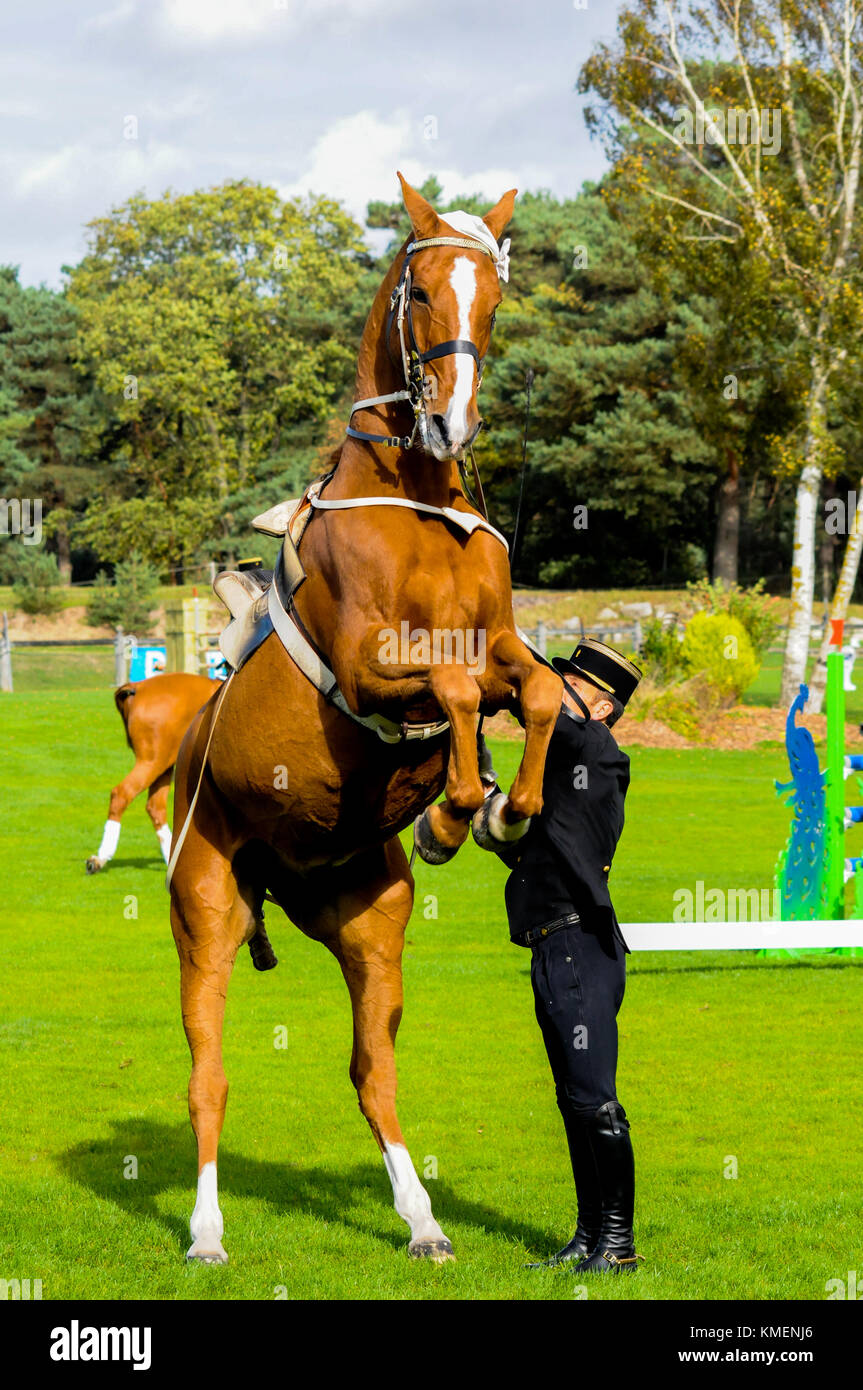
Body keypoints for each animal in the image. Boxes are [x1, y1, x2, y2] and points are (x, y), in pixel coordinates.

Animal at [86, 669, 215, 867]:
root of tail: (137, 687)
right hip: (152, 762)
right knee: (121, 794)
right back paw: (102, 856)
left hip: (164, 765)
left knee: (155, 806)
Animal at [170, 173, 558, 1262]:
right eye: (420, 291)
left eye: (493, 295)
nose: (452, 425)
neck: (415, 496)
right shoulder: (373, 667)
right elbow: (457, 696)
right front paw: (454, 814)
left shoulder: (501, 643)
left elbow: (536, 691)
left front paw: (505, 808)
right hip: (206, 912)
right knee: (208, 1078)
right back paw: (206, 1232)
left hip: (367, 926)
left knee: (370, 1074)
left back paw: (422, 1222)